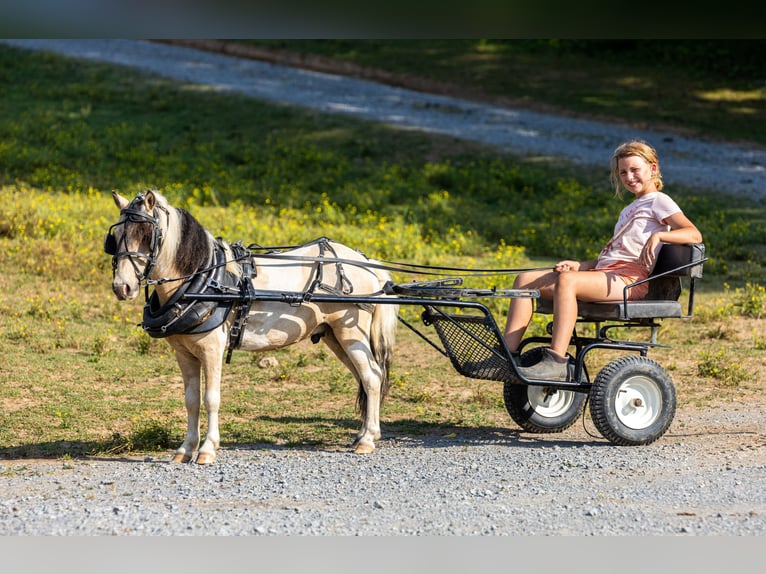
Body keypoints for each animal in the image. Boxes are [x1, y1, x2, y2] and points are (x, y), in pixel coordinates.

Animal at [105, 189, 399, 464]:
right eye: (116, 235)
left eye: (146, 235)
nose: (122, 287)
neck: (205, 279)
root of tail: (367, 263)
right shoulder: (184, 353)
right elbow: (191, 400)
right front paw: (185, 449)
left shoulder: (212, 349)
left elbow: (211, 398)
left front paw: (207, 449)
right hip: (334, 337)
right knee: (365, 377)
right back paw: (364, 434)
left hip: (350, 333)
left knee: (372, 377)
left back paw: (367, 440)